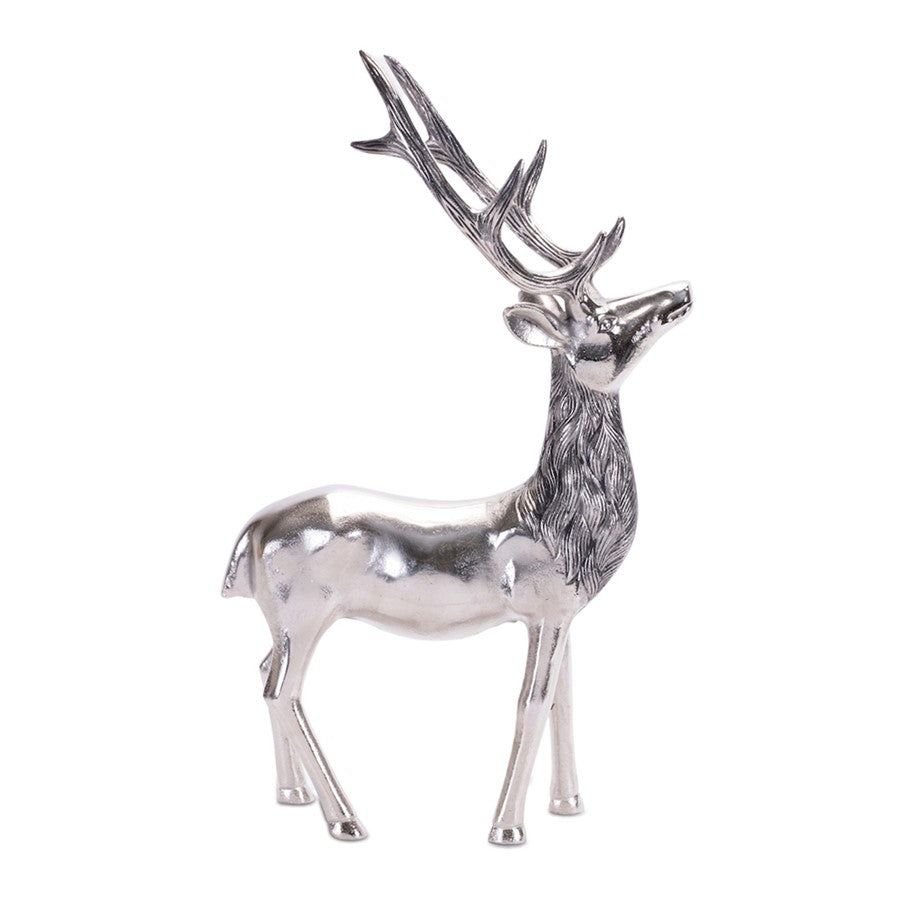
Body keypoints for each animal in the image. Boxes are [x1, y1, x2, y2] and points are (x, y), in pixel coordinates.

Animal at [222, 51, 692, 845]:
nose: (681, 291)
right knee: (282, 688)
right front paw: (506, 830)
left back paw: (292, 797)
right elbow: (531, 704)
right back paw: (345, 819)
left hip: (277, 615)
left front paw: (570, 806)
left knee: (259, 673)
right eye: (600, 317)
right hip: (304, 606)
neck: (562, 523)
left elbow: (567, 702)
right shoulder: (541, 605)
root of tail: (248, 534)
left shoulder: (564, 613)